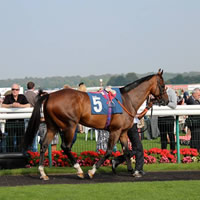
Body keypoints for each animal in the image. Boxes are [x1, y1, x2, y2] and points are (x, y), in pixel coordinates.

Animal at [23, 69, 169, 180]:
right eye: (162, 85)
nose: (166, 100)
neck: (127, 100)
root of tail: (49, 95)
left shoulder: (123, 132)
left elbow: (127, 151)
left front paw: (133, 171)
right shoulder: (115, 130)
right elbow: (109, 151)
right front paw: (92, 171)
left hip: (52, 126)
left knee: (44, 145)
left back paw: (43, 173)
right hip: (70, 125)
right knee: (65, 147)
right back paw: (79, 170)